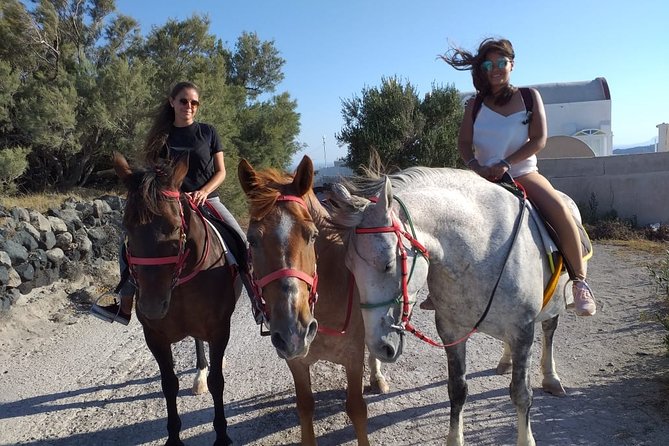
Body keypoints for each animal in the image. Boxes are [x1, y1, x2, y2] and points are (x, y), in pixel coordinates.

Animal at [113, 153, 241, 446]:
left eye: (172, 227)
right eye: (126, 227)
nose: (151, 305)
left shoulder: (219, 328)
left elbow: (218, 381)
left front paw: (222, 435)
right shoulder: (155, 336)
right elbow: (168, 383)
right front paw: (173, 437)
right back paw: (199, 373)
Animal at [238, 156, 389, 446]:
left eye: (312, 235)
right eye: (252, 239)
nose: (293, 331)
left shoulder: (353, 358)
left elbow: (356, 408)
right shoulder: (296, 361)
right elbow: (305, 406)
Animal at [327, 166, 585, 446]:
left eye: (387, 264)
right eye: (350, 266)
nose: (381, 347)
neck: (481, 248)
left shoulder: (523, 331)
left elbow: (521, 393)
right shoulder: (451, 331)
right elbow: (457, 390)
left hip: (555, 303)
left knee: (549, 331)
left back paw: (551, 377)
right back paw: (505, 362)